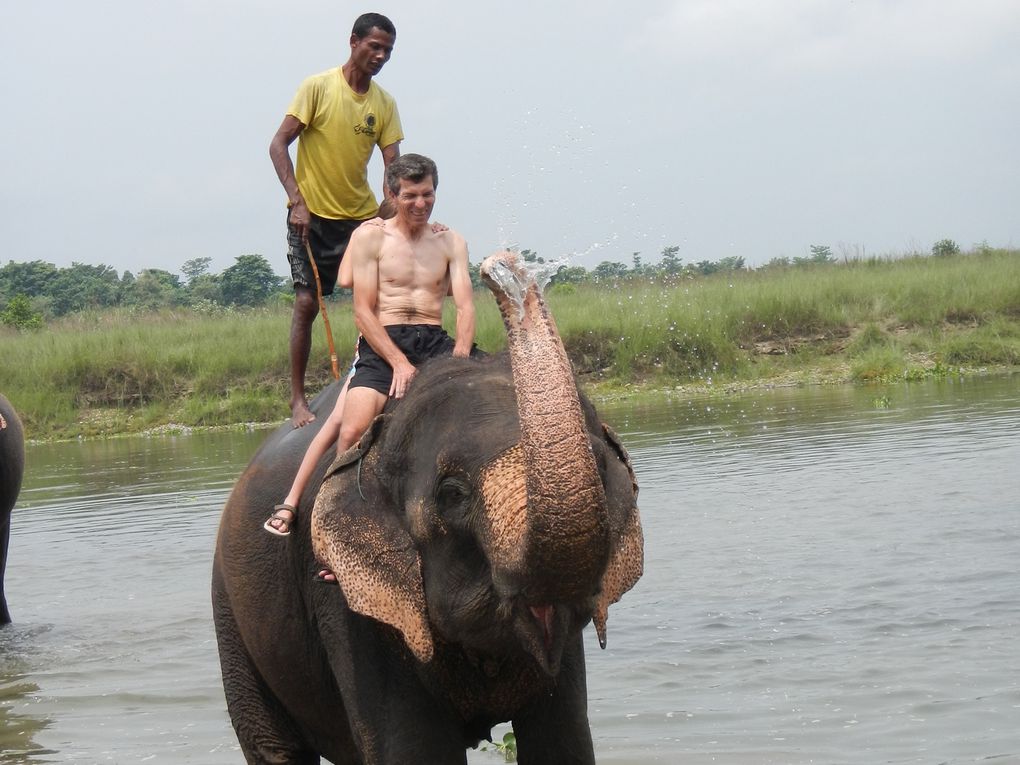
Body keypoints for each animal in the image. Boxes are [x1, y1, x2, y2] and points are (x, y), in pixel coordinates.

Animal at [213, 249, 644, 762]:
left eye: (600, 469)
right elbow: (413, 746)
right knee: (274, 747)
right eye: (452, 495)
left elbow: (564, 739)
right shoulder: (346, 601)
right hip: (230, 613)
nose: (501, 266)